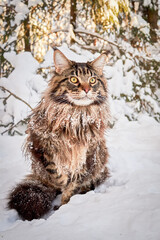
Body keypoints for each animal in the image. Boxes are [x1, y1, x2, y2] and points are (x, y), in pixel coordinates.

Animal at [7, 49, 110, 221]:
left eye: (93, 80)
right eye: (74, 79)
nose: (87, 89)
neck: (76, 115)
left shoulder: (89, 152)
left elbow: (75, 182)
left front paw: (66, 200)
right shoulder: (42, 145)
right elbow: (56, 172)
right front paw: (62, 183)